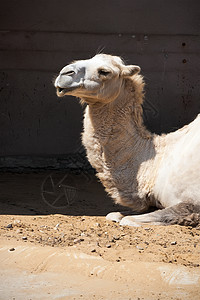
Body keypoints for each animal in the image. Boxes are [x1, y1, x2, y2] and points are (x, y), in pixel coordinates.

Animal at [54, 54, 200, 226]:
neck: (157, 164)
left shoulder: (191, 202)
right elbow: (114, 214)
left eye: (104, 71)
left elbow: (129, 220)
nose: (65, 73)